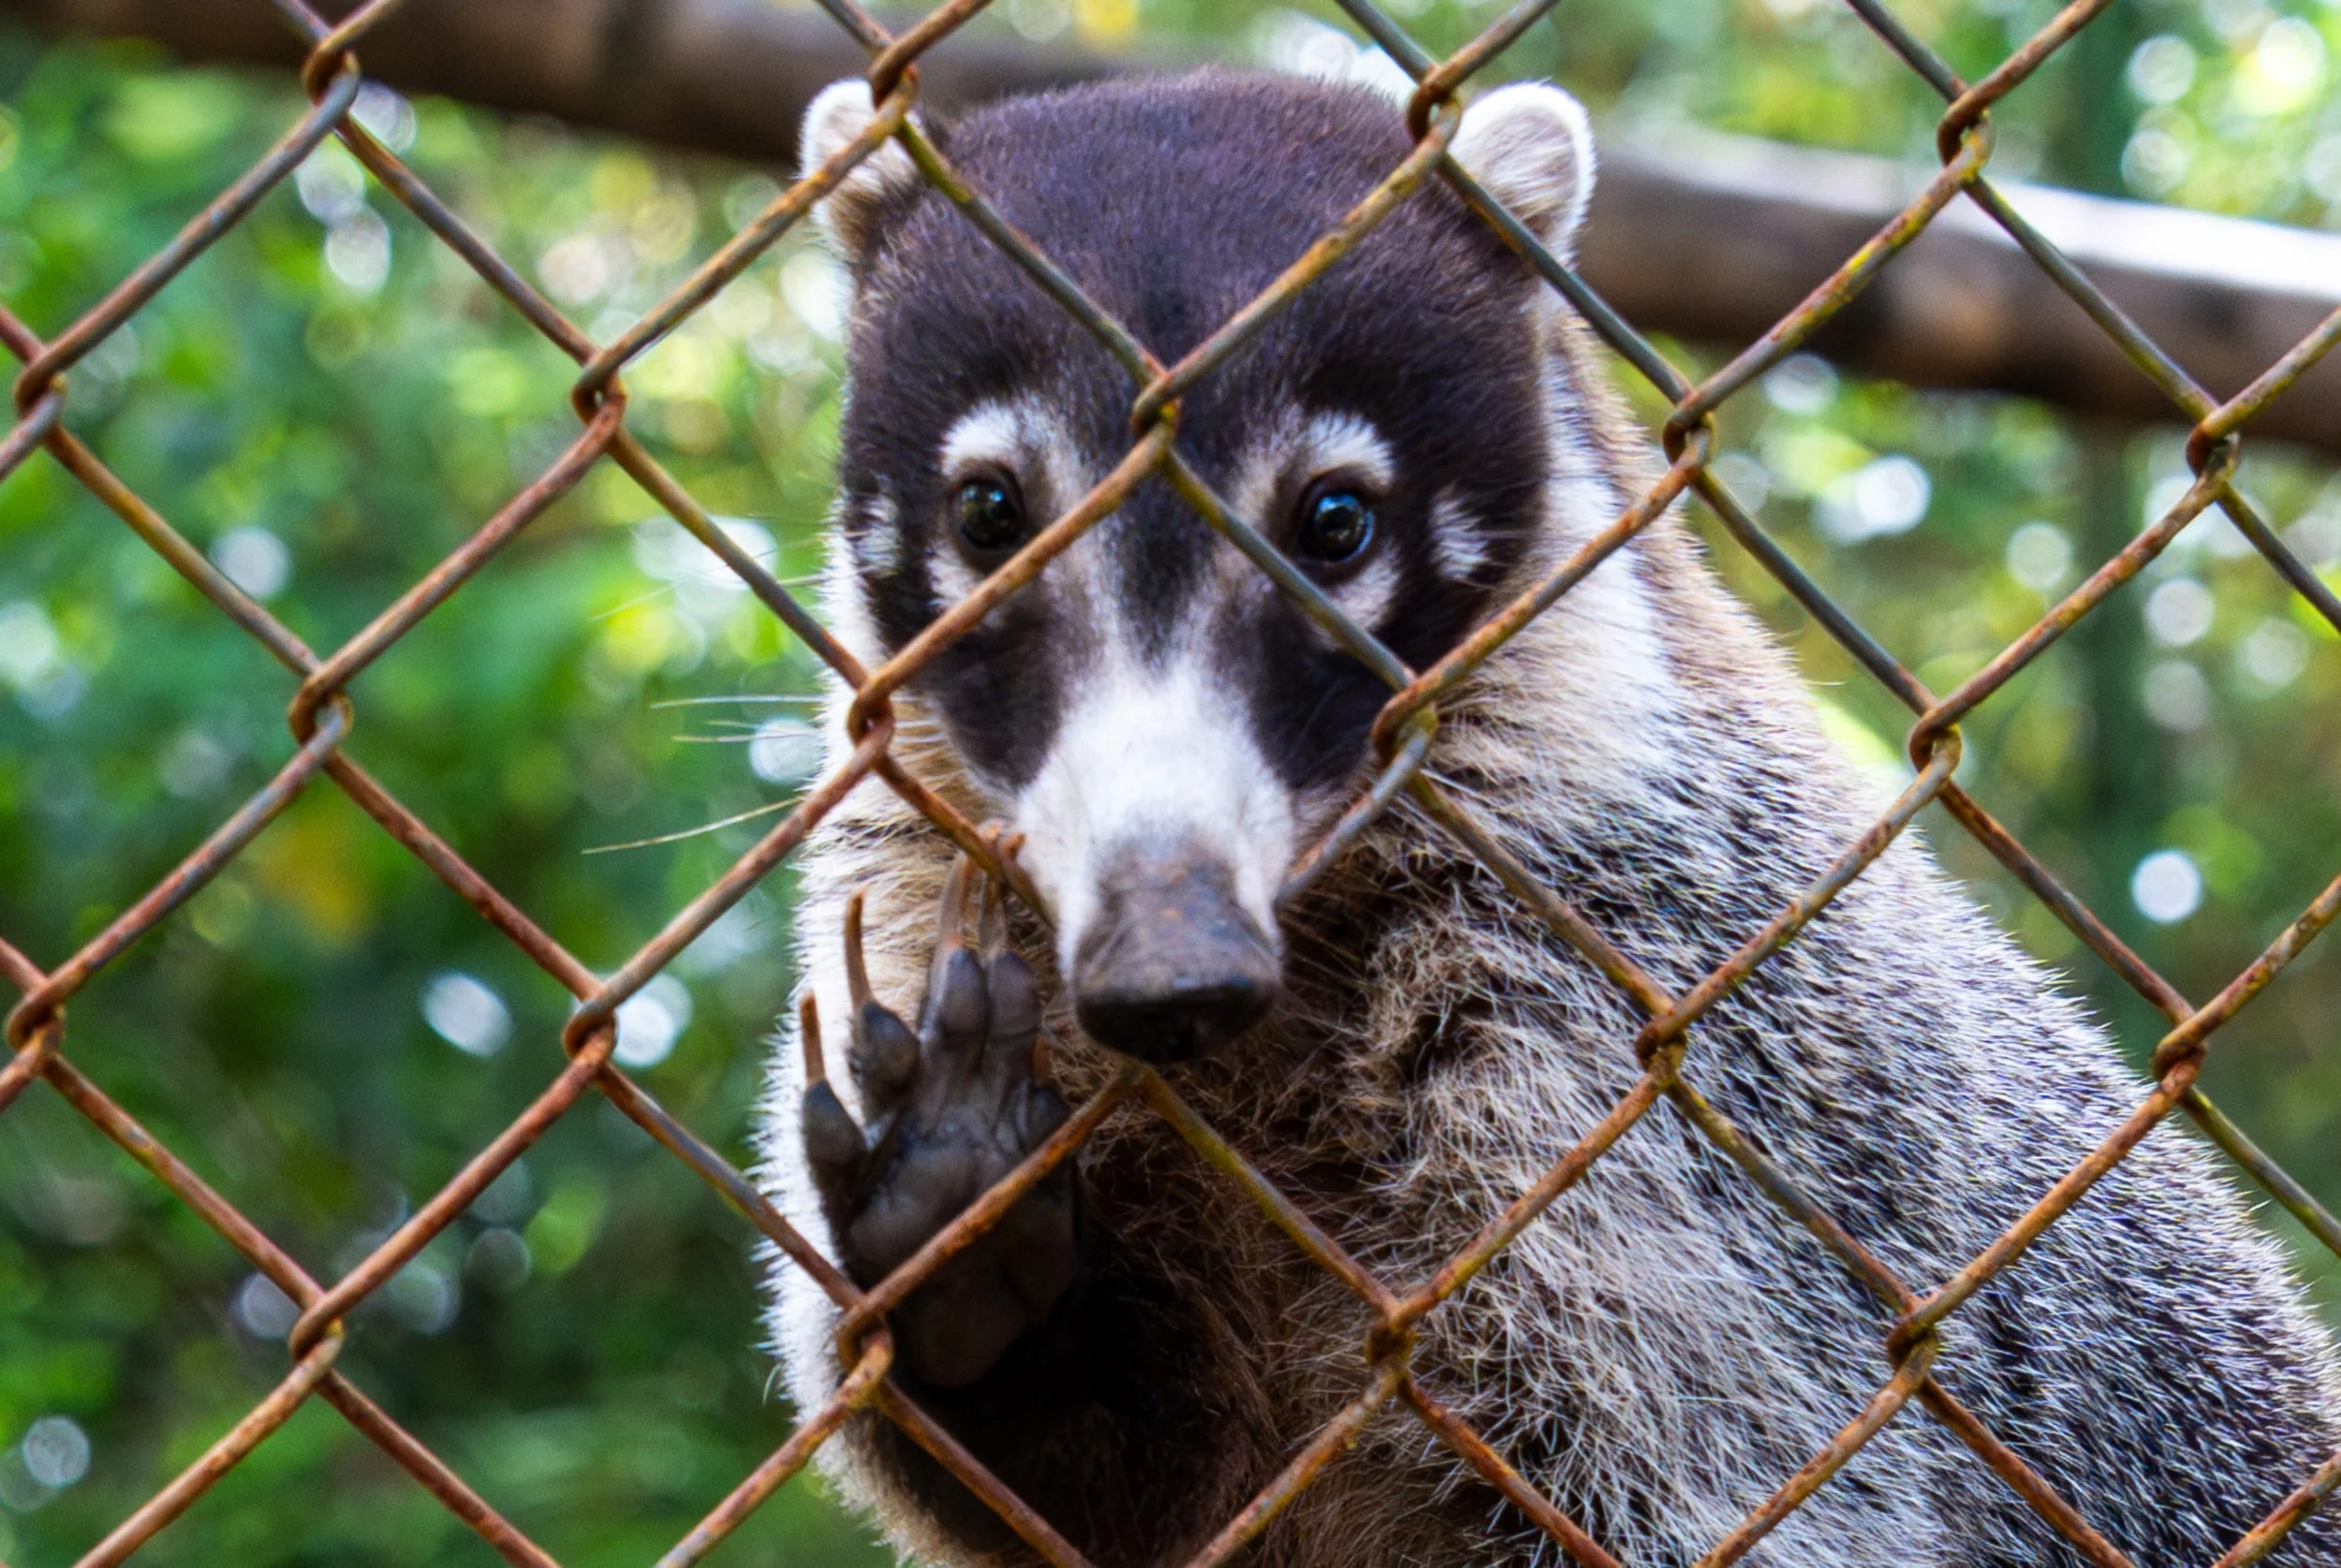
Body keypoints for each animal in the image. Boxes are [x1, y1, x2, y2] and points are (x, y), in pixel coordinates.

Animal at [752, 69, 2341, 1568]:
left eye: (1335, 523)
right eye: (990, 512)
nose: (1169, 966)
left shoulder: (1663, 1078)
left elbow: (1711, 1471)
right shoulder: (933, 899)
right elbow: (1107, 1477)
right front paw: (965, 1234)